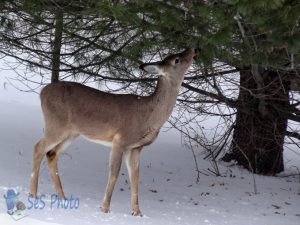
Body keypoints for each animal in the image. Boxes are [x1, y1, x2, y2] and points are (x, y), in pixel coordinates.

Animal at [29, 48, 196, 215]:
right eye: (177, 59)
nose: (192, 50)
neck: (148, 116)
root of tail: (42, 92)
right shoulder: (120, 140)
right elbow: (114, 173)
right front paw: (104, 208)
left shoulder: (136, 148)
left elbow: (135, 177)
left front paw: (137, 212)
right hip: (56, 124)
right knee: (38, 147)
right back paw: (33, 194)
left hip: (71, 133)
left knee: (52, 153)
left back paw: (63, 198)